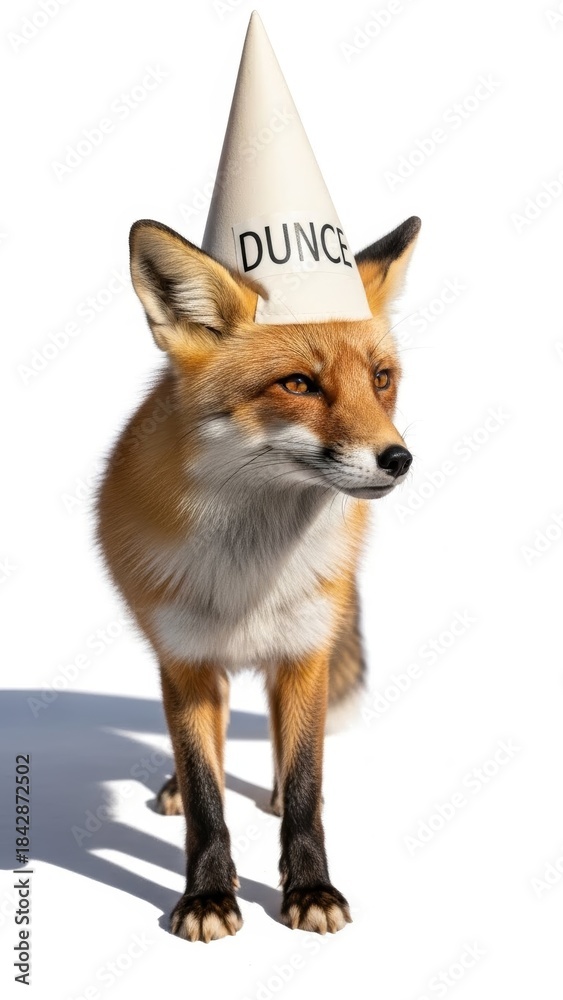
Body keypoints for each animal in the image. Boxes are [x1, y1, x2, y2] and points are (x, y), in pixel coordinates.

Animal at [96, 213, 421, 942]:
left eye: (381, 378)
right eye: (298, 384)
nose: (398, 459)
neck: (251, 572)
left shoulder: (304, 654)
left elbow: (304, 789)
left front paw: (310, 890)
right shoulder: (185, 663)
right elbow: (205, 798)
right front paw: (208, 896)